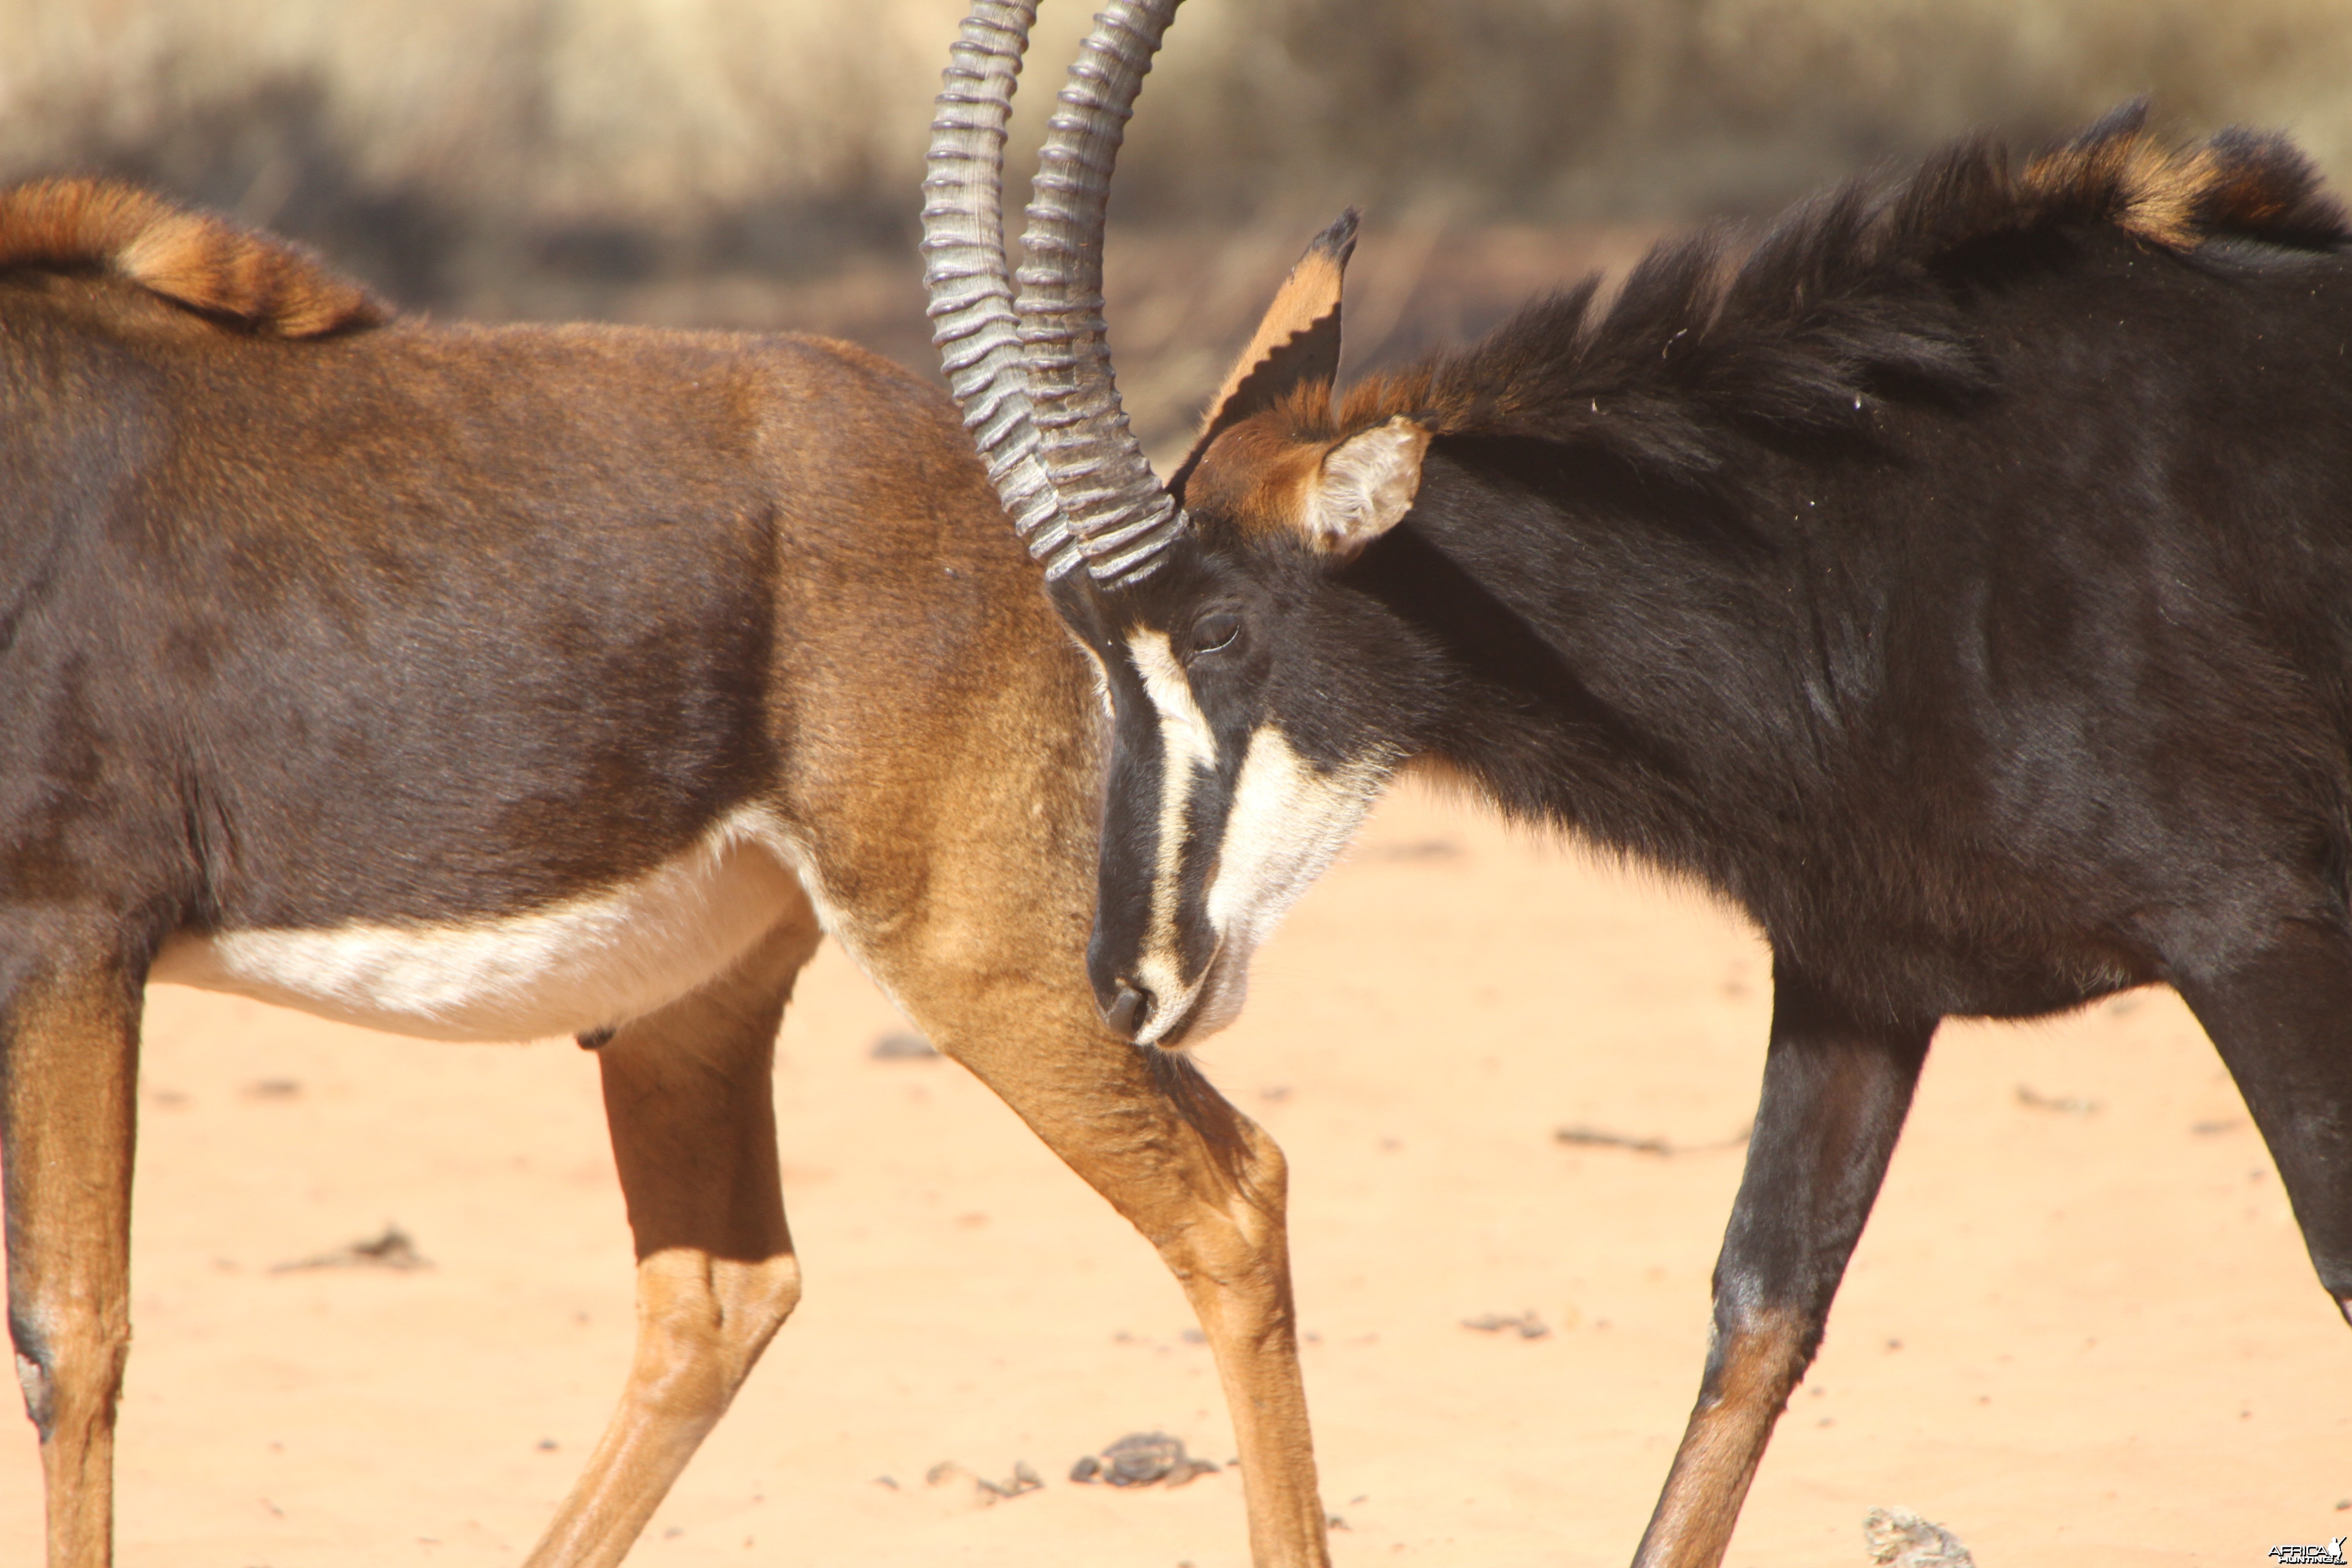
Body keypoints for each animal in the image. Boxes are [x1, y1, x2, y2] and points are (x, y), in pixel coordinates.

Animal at [926, 3, 2352, 1568]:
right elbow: (1760, 1310)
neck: (1862, 544)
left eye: (1224, 631)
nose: (1127, 983)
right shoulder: (1859, 978)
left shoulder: (2255, 935)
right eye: (1088, 647)